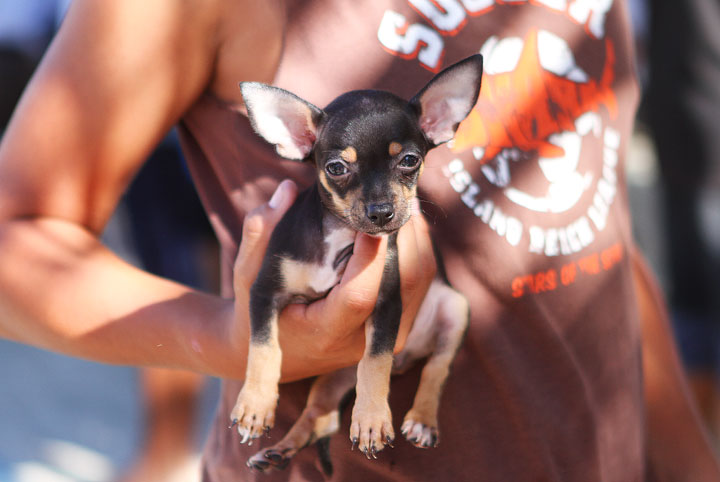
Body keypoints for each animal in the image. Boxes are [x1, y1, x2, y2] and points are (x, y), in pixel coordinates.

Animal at [232, 53, 484, 470]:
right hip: (330, 378)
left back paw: (422, 420)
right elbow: (264, 347)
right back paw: (278, 452)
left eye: (409, 160)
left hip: (456, 307)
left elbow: (375, 360)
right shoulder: (263, 293)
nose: (381, 212)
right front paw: (255, 404)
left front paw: (371, 419)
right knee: (319, 417)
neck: (341, 238)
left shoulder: (387, 304)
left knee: (436, 368)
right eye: (336, 167)